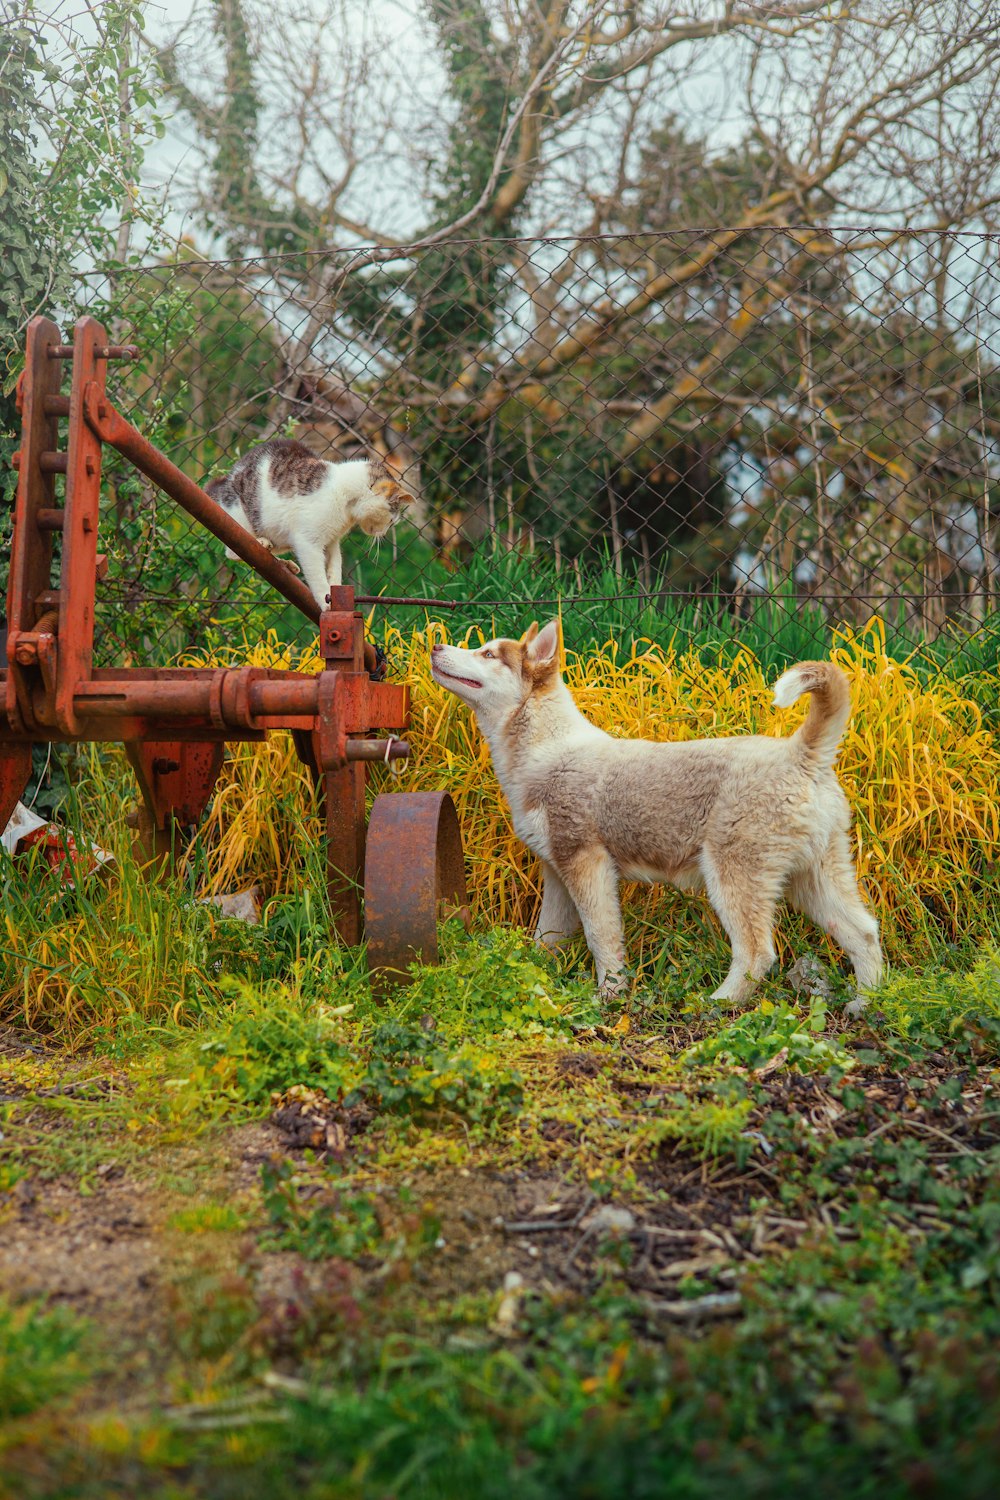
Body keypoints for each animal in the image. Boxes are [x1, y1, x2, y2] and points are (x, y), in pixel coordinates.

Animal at [206, 438, 413, 609]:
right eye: (392, 521)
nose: (384, 533)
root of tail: (224, 481)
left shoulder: (331, 541)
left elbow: (335, 565)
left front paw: (335, 587)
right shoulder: (308, 542)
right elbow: (317, 575)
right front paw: (325, 600)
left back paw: (285, 564)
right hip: (240, 513)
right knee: (233, 551)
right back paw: (262, 543)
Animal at [431, 621, 881, 1008]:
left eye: (488, 653)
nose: (435, 646)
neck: (547, 748)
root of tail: (800, 753)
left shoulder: (587, 864)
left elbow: (601, 938)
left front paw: (609, 995)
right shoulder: (557, 873)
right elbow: (547, 937)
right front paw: (527, 974)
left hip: (734, 878)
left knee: (757, 953)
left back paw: (716, 1003)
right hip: (815, 881)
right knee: (864, 933)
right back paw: (866, 1003)